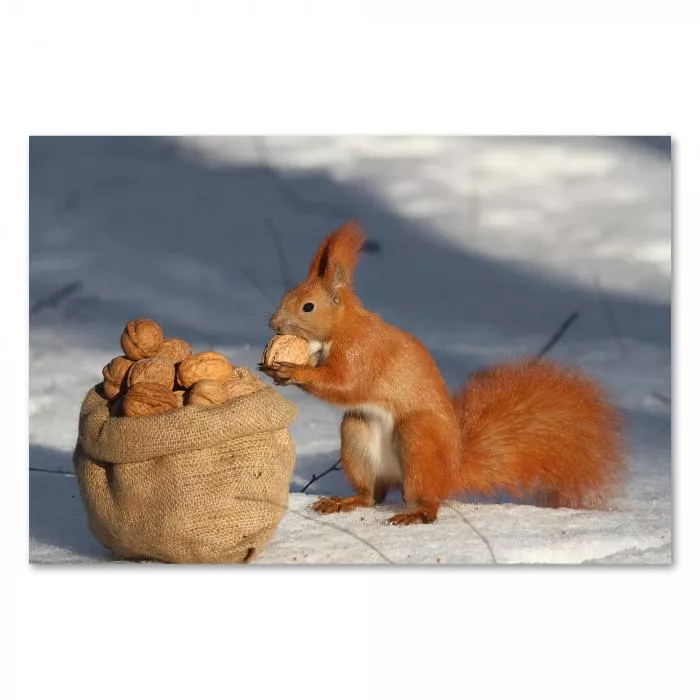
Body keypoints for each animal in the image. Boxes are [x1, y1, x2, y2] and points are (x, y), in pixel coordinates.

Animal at [260, 221, 628, 524]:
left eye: (308, 306)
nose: (273, 324)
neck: (341, 329)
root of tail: (451, 472)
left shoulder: (364, 352)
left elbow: (345, 384)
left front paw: (293, 371)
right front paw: (273, 369)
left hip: (418, 437)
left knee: (427, 499)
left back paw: (416, 514)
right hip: (357, 433)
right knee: (372, 495)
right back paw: (345, 501)